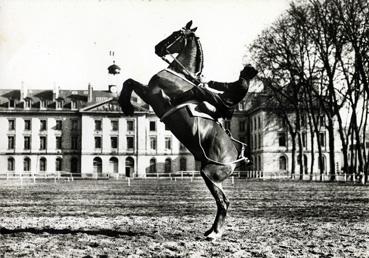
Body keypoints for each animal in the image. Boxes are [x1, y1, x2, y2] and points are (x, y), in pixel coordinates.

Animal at [119, 20, 249, 240]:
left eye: (175, 34)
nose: (158, 47)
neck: (180, 76)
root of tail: (237, 158)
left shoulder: (152, 93)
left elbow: (129, 81)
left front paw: (126, 105)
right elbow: (129, 81)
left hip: (209, 174)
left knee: (223, 202)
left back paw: (215, 233)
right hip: (213, 177)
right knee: (223, 202)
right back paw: (211, 230)